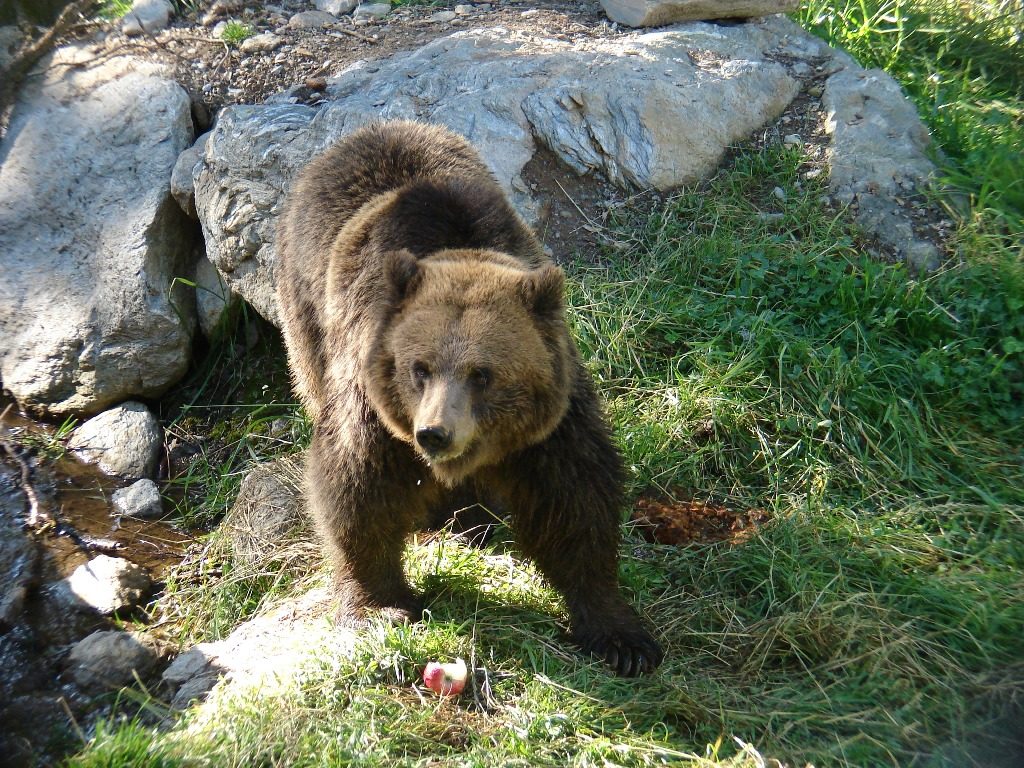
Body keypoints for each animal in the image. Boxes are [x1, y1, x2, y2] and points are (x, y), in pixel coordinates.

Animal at [276, 117, 659, 675]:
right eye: (419, 369)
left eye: (483, 374)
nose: (435, 434)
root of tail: (367, 130)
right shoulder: (374, 403)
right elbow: (357, 488)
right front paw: (379, 606)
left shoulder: (551, 423)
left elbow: (575, 499)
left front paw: (621, 637)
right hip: (306, 312)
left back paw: (471, 518)